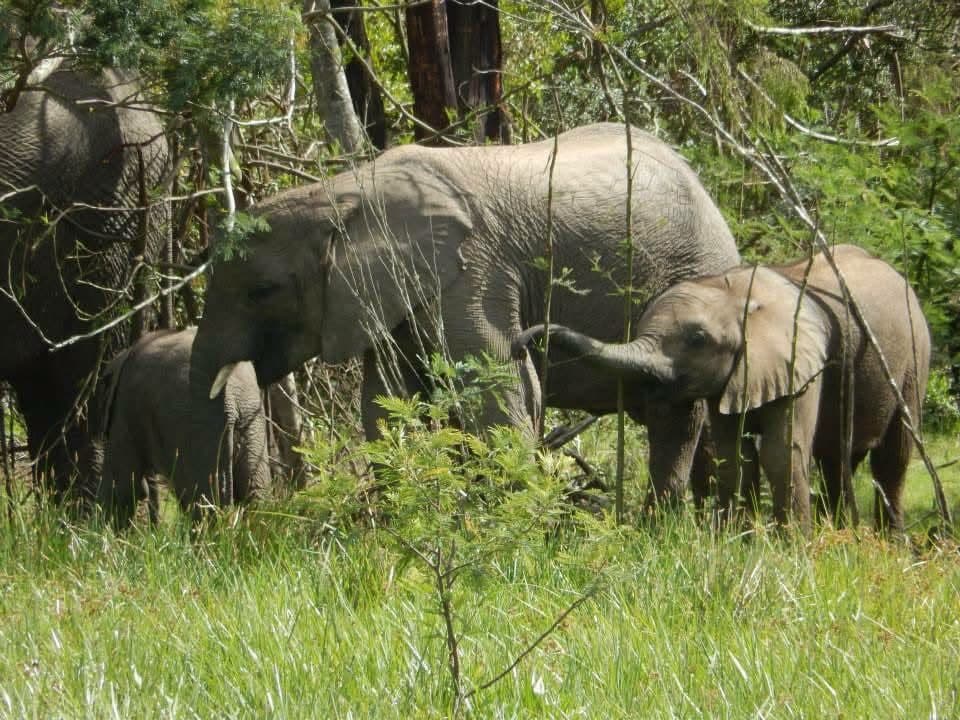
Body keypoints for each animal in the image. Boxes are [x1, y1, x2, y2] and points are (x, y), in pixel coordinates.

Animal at [91, 328, 271, 528]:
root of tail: (232, 397)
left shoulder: (124, 407)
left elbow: (122, 483)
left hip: (200, 426)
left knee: (203, 502)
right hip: (250, 421)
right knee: (256, 494)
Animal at [191, 122, 740, 503]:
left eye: (262, 291)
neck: (342, 192)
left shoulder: (474, 271)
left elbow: (497, 385)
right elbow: (384, 402)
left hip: (695, 273)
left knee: (677, 415)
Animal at [513, 245, 931, 534]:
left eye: (698, 340)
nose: (523, 341)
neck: (738, 293)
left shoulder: (800, 359)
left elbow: (781, 452)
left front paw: (793, 551)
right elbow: (733, 455)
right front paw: (737, 543)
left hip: (915, 359)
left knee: (892, 457)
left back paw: (888, 546)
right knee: (837, 459)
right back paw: (841, 534)